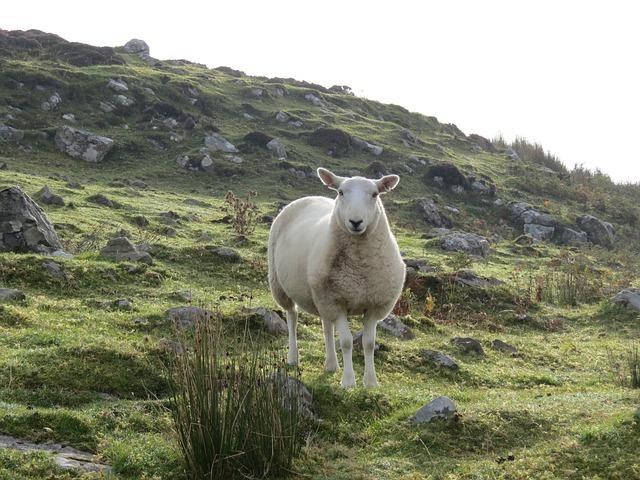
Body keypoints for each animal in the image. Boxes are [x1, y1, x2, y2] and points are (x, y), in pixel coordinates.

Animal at [268, 168, 402, 386]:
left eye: (375, 194)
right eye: (340, 192)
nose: (355, 222)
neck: (359, 269)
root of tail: (309, 197)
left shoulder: (373, 306)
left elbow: (369, 343)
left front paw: (371, 382)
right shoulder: (337, 303)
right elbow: (346, 342)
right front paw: (348, 381)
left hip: (321, 295)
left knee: (326, 327)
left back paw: (331, 365)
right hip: (281, 286)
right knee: (292, 318)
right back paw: (293, 357)